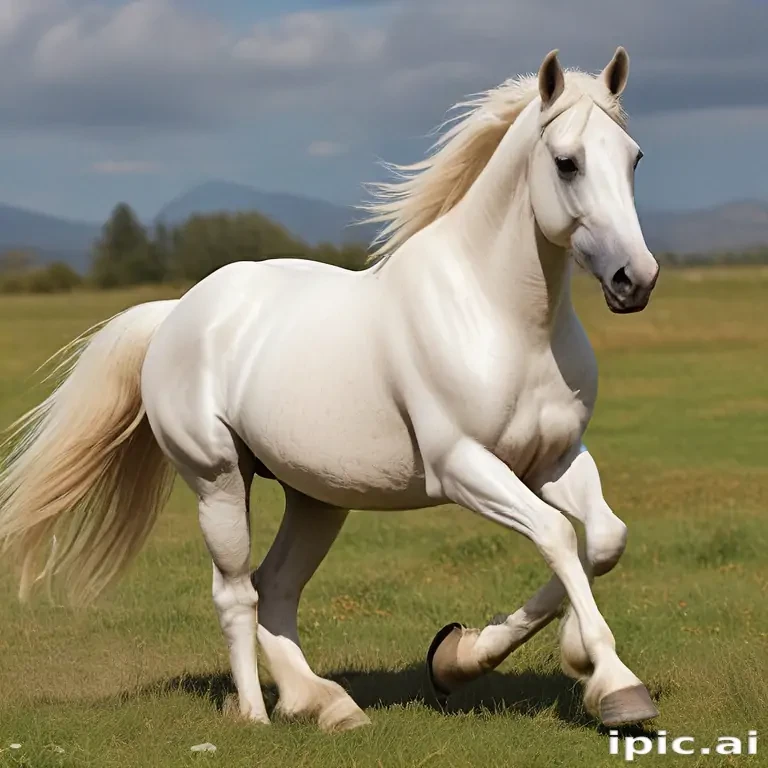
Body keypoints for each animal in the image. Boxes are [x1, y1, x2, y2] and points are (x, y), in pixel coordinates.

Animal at [0, 48, 659, 732]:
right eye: (567, 161)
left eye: (634, 157)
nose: (634, 279)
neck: (503, 320)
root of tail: (177, 313)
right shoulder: (462, 467)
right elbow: (557, 535)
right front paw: (614, 684)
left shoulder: (554, 459)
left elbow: (603, 539)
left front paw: (472, 656)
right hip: (218, 479)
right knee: (235, 591)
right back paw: (256, 716)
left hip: (317, 497)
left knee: (276, 587)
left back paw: (325, 703)